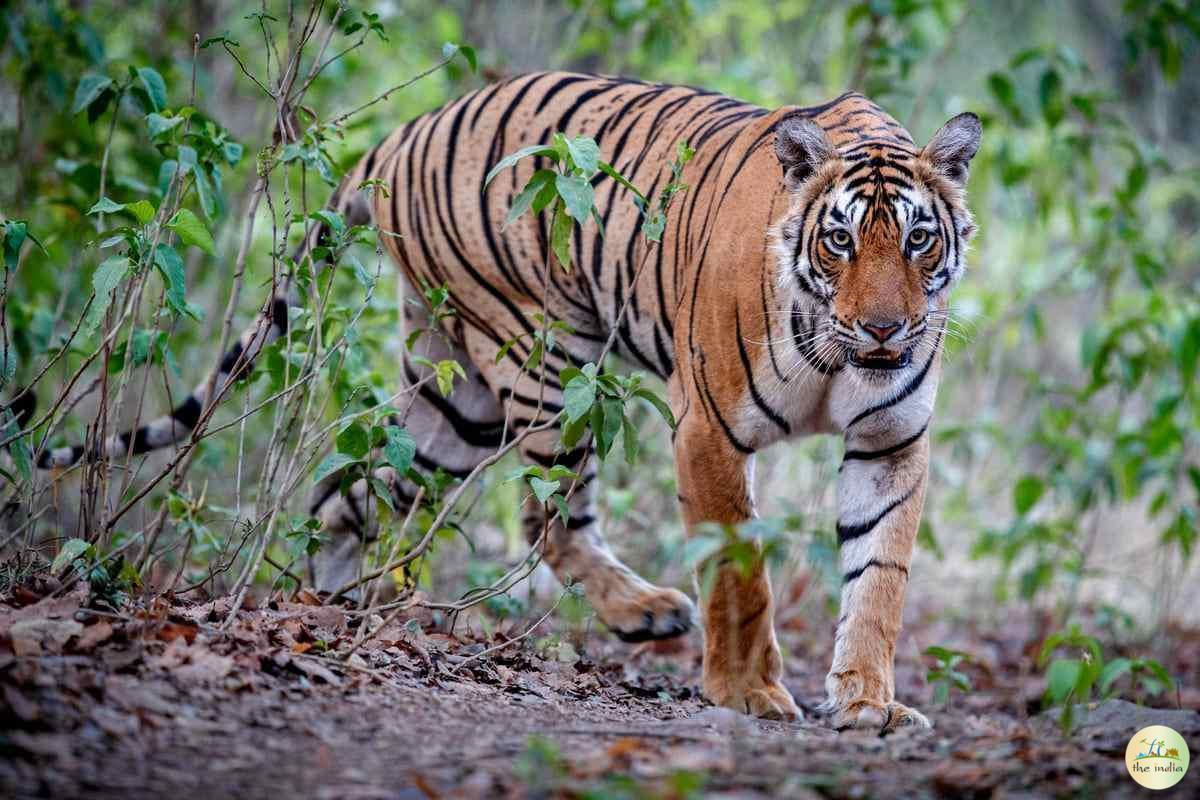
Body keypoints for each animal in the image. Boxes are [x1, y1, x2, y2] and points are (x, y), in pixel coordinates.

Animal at [35, 70, 984, 734]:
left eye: (916, 238)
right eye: (839, 240)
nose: (884, 328)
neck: (841, 358)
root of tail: (402, 135)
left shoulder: (890, 442)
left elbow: (878, 579)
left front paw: (867, 704)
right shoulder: (709, 428)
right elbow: (739, 573)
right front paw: (749, 692)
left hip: (455, 402)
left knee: (348, 496)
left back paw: (332, 614)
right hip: (543, 359)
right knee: (544, 518)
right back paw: (644, 611)